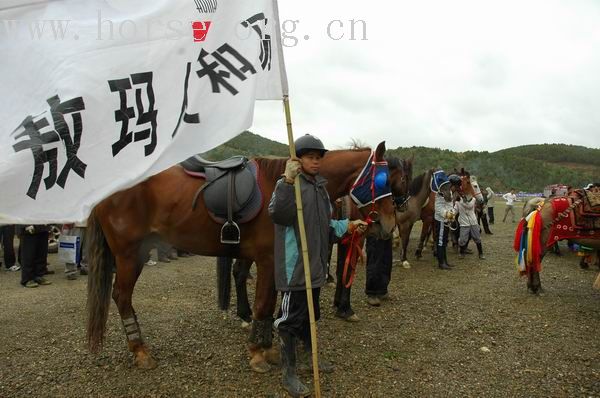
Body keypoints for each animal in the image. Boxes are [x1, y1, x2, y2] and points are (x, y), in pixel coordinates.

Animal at [84, 141, 396, 372]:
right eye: (383, 180)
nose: (388, 225)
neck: (289, 190)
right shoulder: (267, 259)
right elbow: (262, 305)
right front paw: (257, 353)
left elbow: (268, 306)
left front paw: (268, 348)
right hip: (129, 255)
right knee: (121, 297)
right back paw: (140, 352)